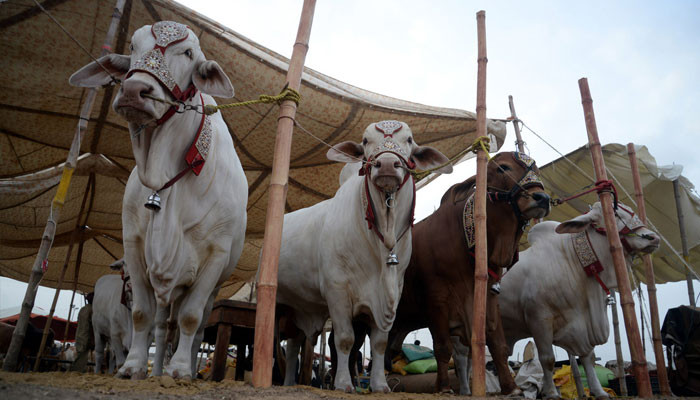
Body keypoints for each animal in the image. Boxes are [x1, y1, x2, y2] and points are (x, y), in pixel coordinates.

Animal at [69, 21, 247, 378]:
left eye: (189, 53)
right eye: (133, 47)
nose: (134, 90)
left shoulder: (215, 257)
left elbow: (190, 319)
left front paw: (180, 370)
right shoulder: (136, 248)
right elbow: (142, 315)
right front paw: (134, 366)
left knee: (192, 328)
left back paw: (182, 366)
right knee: (163, 325)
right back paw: (155, 370)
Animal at [276, 120, 452, 392]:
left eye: (409, 139)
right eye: (366, 140)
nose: (388, 165)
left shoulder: (392, 294)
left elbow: (379, 343)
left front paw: (380, 385)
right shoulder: (337, 292)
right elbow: (344, 340)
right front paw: (343, 384)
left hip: (299, 307)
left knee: (294, 343)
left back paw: (288, 384)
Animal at [392, 152, 548, 394]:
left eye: (537, 169)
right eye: (502, 168)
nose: (542, 198)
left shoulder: (489, 296)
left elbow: (498, 345)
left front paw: (511, 387)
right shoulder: (437, 300)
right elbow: (442, 347)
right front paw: (444, 387)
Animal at [500, 203, 660, 396]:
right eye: (614, 214)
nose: (653, 238)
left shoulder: (580, 325)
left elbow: (588, 357)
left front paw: (599, 391)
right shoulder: (538, 319)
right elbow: (547, 359)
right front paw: (552, 393)